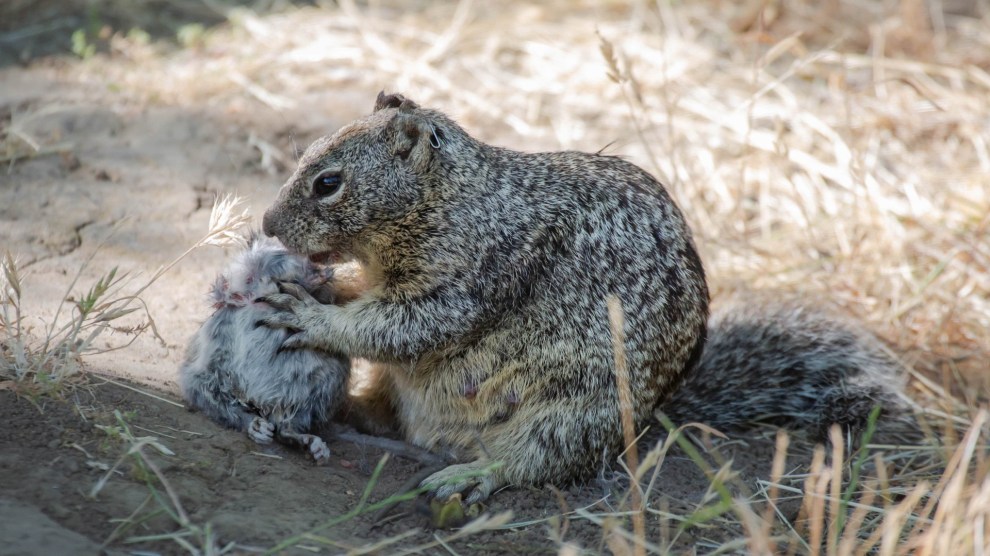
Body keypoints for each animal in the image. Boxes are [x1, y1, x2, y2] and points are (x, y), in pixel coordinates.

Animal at [258, 92, 910, 503]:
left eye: (328, 182)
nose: (266, 223)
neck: (456, 200)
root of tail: (649, 421)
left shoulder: (470, 279)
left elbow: (402, 327)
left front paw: (310, 315)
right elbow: (367, 301)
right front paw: (320, 286)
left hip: (569, 413)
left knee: (535, 463)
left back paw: (470, 475)